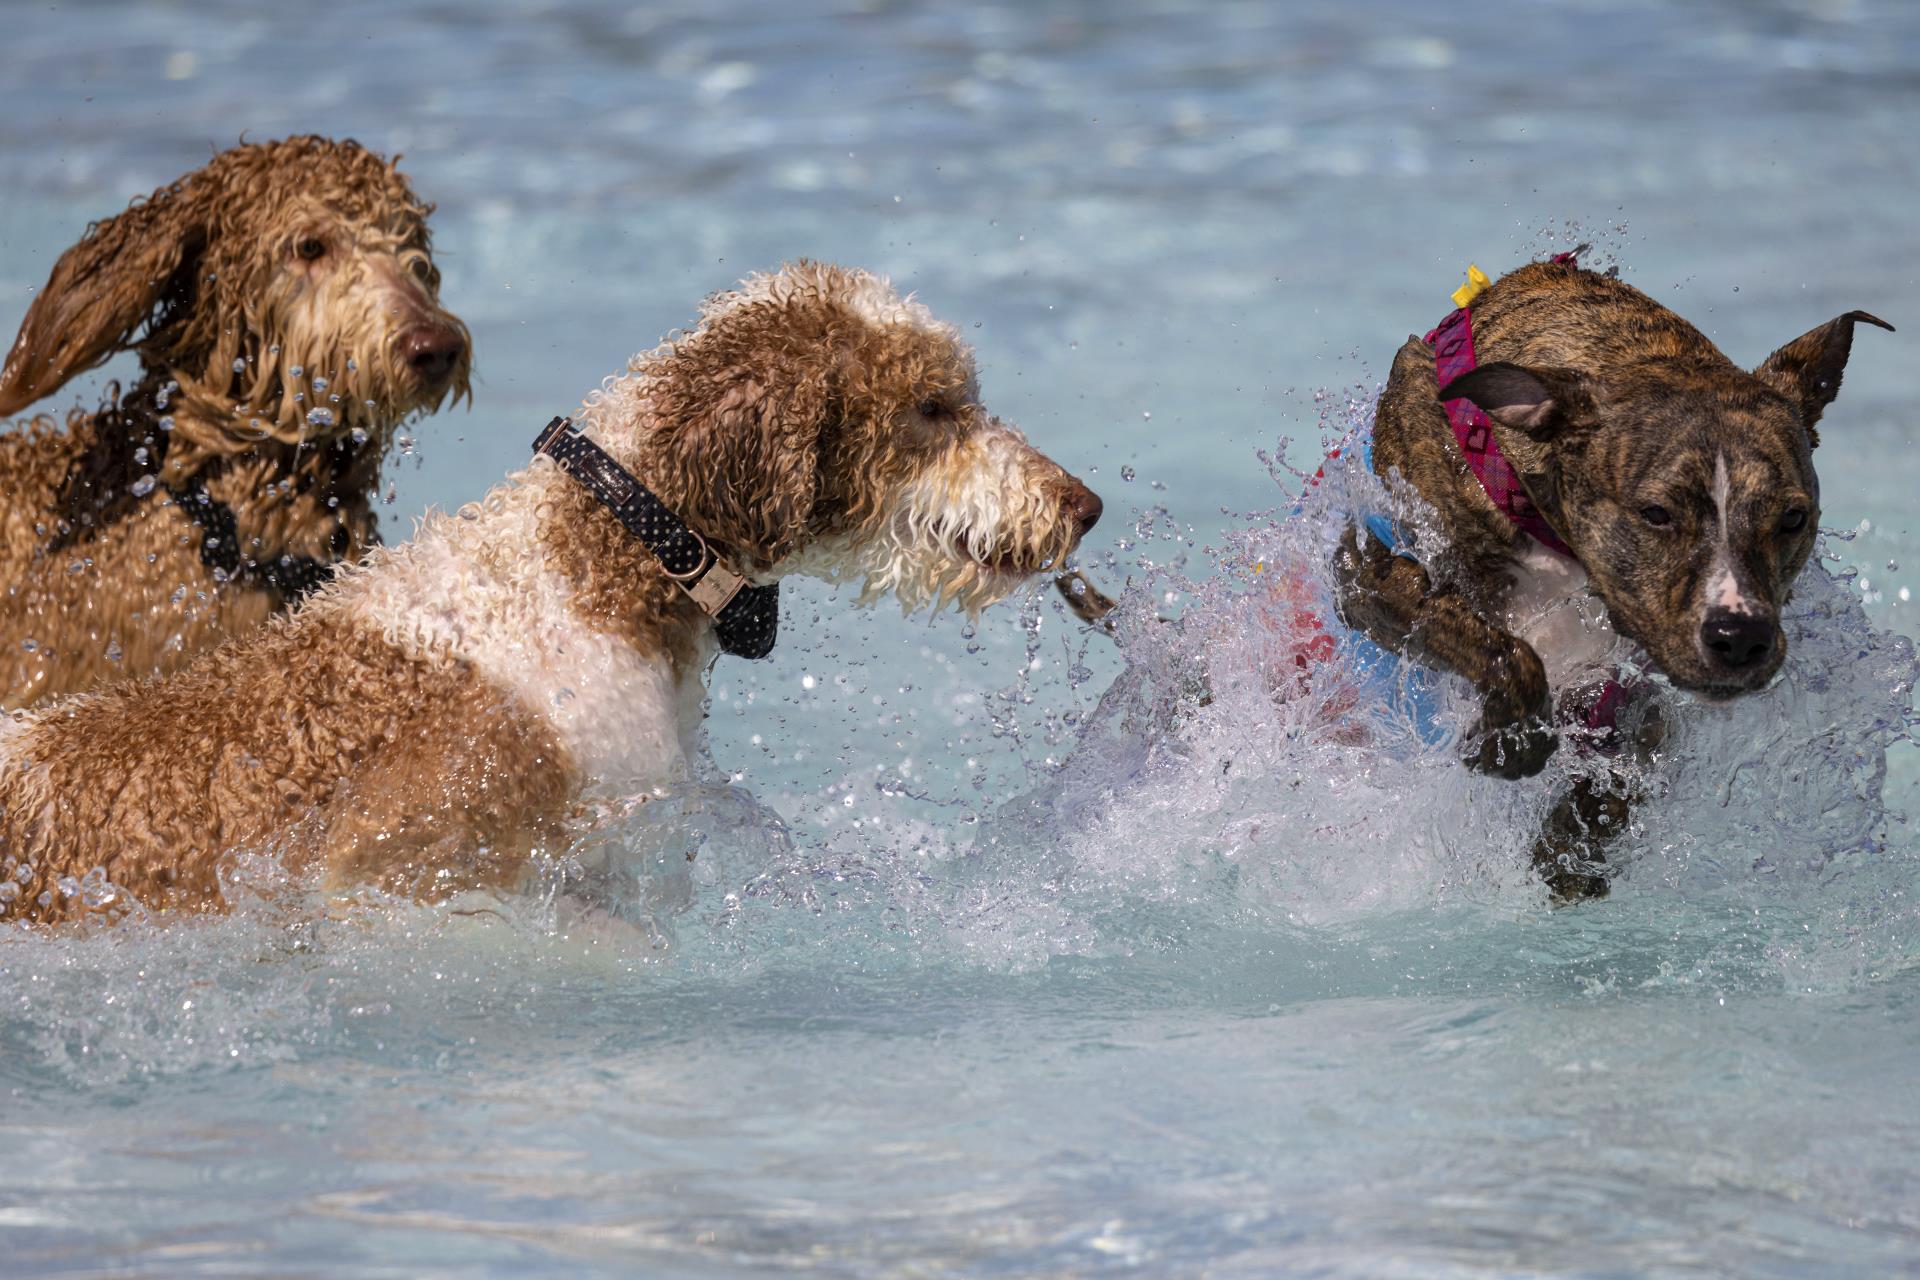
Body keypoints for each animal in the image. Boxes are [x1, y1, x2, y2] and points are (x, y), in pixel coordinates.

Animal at [1067, 255, 1889, 901]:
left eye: (1794, 517)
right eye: (1655, 513)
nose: (1740, 636)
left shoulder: (1639, 672)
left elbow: (1621, 751)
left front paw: (1576, 843)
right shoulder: (1371, 578)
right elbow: (1502, 651)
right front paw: (1509, 743)